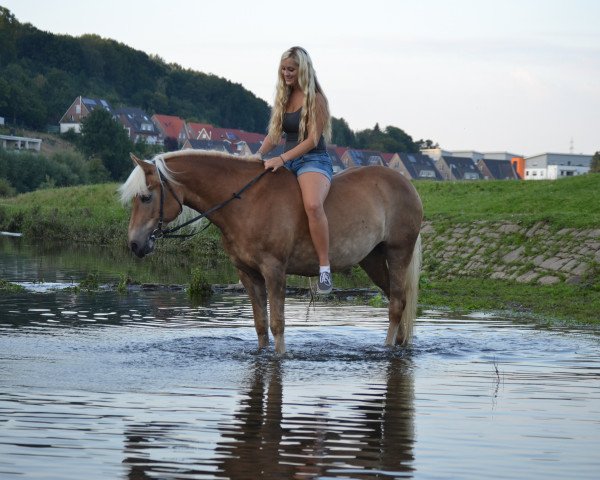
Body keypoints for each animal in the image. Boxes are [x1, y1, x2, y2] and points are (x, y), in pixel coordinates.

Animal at [120, 152, 422, 354]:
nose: (134, 244)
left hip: (398, 253)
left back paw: (387, 348)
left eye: (145, 197)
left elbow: (277, 323)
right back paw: (400, 344)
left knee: (396, 305)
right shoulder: (248, 273)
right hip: (372, 260)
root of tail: (406, 184)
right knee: (399, 299)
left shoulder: (274, 270)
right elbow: (260, 325)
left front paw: (280, 357)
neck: (246, 202)